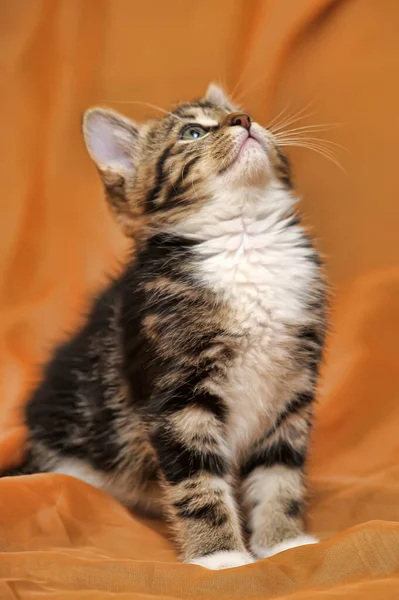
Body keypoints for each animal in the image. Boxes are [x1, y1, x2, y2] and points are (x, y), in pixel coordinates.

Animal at [2, 83, 324, 568]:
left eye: (239, 113)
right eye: (192, 133)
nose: (244, 121)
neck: (244, 240)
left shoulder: (292, 386)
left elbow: (279, 472)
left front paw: (282, 541)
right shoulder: (176, 394)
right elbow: (197, 480)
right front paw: (220, 556)